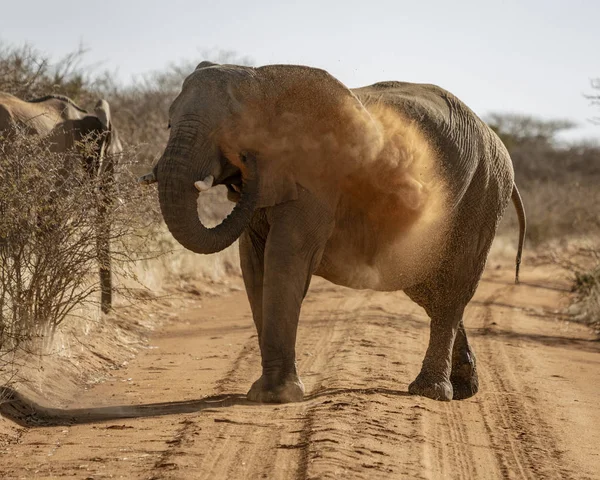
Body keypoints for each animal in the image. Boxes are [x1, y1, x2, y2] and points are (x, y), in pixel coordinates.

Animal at [146, 62, 524, 404]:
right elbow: (253, 265)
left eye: (231, 130)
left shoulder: (318, 178)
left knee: (451, 288)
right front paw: (267, 393)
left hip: (483, 193)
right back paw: (464, 388)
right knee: (427, 288)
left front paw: (275, 397)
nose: (246, 163)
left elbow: (284, 257)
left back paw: (431, 392)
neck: (264, 81)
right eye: (169, 123)